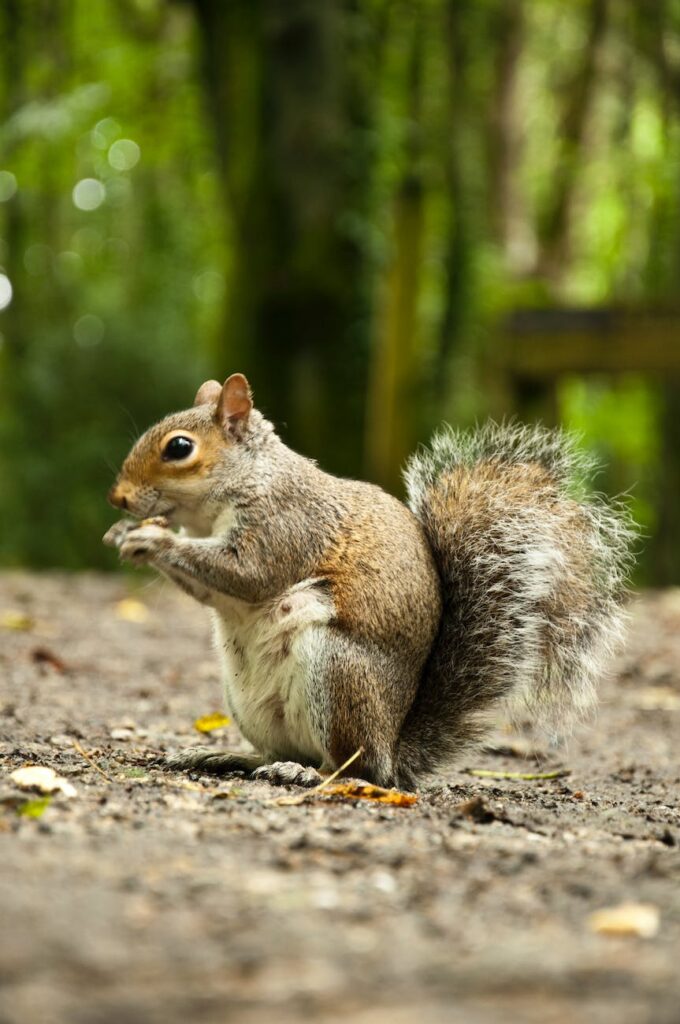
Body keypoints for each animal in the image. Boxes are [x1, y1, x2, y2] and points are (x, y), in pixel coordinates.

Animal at [104, 373, 634, 790]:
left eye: (179, 448)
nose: (118, 498)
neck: (248, 480)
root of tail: (391, 749)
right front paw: (126, 534)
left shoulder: (288, 526)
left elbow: (248, 576)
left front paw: (152, 539)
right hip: (248, 702)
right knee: (282, 751)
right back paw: (226, 755)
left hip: (337, 673)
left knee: (350, 768)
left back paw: (308, 774)